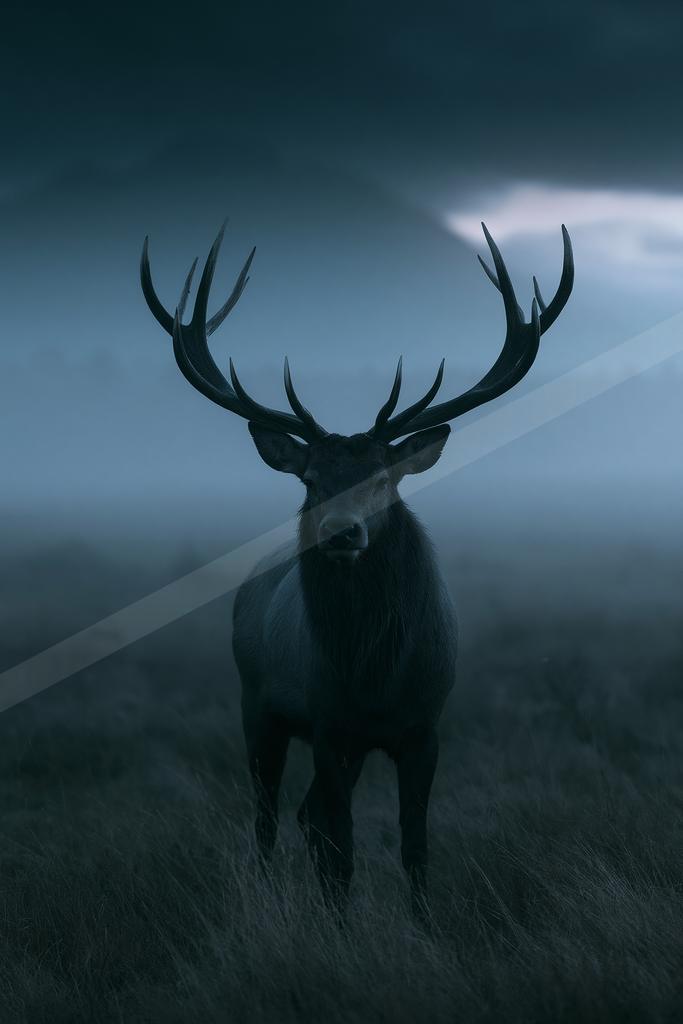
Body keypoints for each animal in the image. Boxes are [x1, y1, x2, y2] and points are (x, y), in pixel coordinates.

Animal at [140, 220, 573, 918]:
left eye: (383, 479)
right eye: (311, 480)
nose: (342, 532)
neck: (374, 674)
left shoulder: (424, 725)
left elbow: (414, 849)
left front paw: (423, 925)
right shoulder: (328, 724)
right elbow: (341, 849)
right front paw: (340, 927)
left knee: (304, 816)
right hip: (257, 704)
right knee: (270, 819)